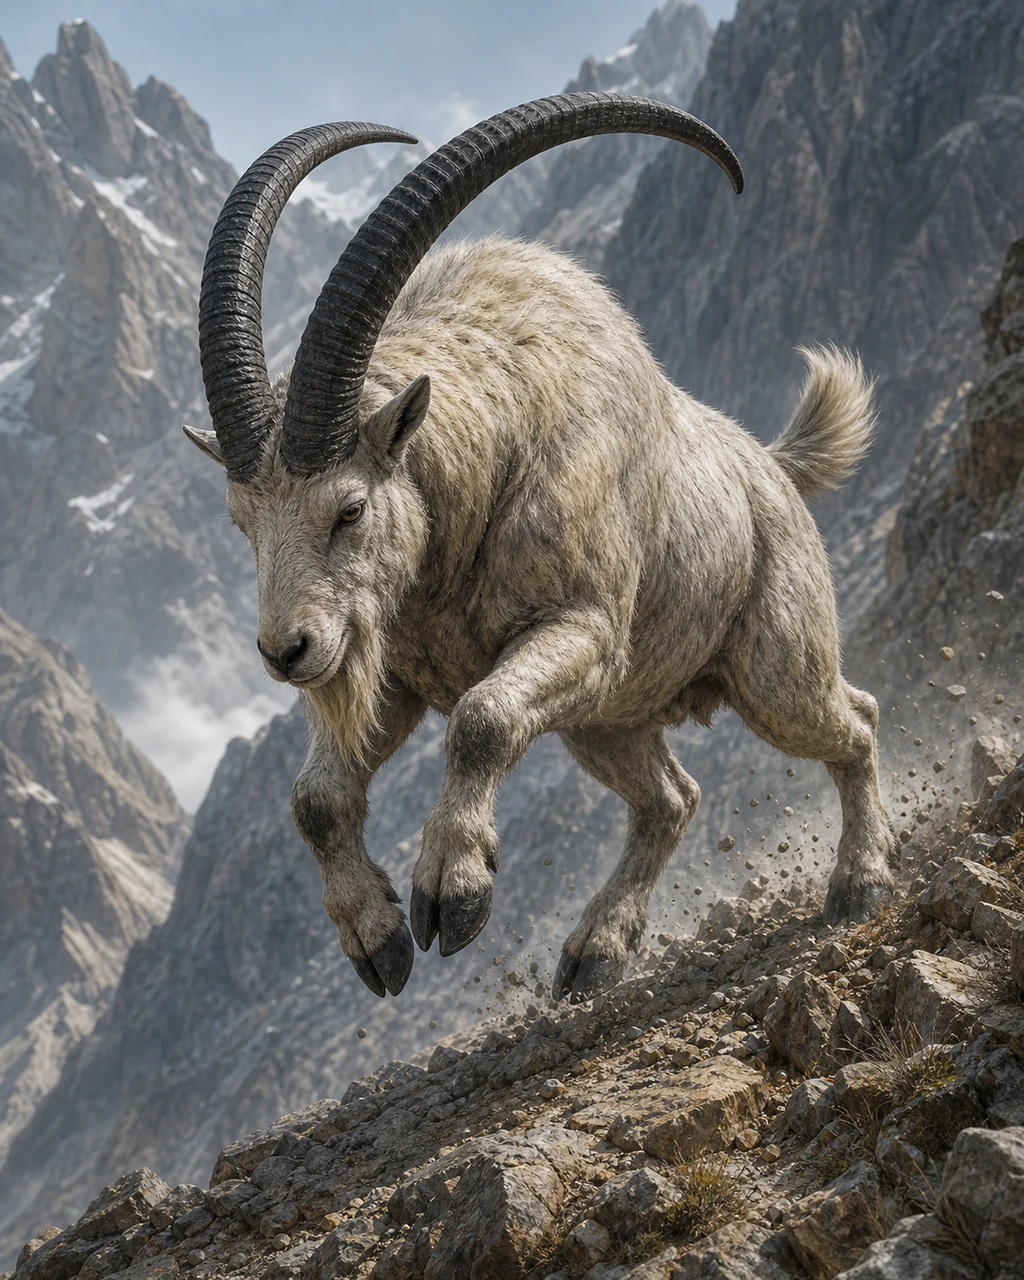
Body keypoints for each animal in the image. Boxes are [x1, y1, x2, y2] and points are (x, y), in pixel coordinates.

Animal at [188, 97, 897, 1002]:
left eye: (349, 509)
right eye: (242, 524)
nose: (288, 652)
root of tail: (771, 470)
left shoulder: (580, 629)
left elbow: (481, 721)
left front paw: (452, 896)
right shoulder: (397, 674)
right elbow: (315, 799)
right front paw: (379, 941)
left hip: (773, 674)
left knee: (855, 723)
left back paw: (861, 883)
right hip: (607, 721)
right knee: (672, 798)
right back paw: (595, 954)